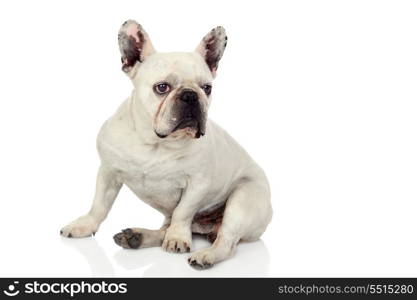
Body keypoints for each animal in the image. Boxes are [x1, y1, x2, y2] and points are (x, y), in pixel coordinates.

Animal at [60, 21, 272, 270]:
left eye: (207, 88)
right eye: (162, 87)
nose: (190, 95)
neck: (156, 143)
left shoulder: (197, 184)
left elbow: (183, 212)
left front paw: (178, 238)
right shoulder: (108, 172)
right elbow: (99, 205)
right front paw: (84, 225)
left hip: (243, 199)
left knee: (226, 241)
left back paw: (205, 255)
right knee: (167, 227)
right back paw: (138, 237)